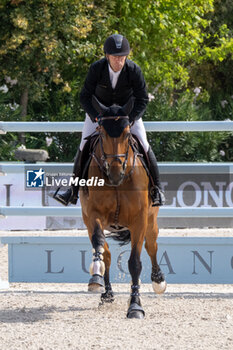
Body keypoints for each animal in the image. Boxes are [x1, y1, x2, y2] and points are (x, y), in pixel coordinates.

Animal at [79, 97, 167, 318]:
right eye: (101, 133)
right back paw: (106, 293)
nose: (115, 173)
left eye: (127, 134)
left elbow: (135, 263)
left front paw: (135, 306)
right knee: (106, 252)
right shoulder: (93, 215)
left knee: (152, 246)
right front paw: (96, 276)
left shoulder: (139, 220)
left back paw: (158, 280)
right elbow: (99, 244)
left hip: (151, 221)